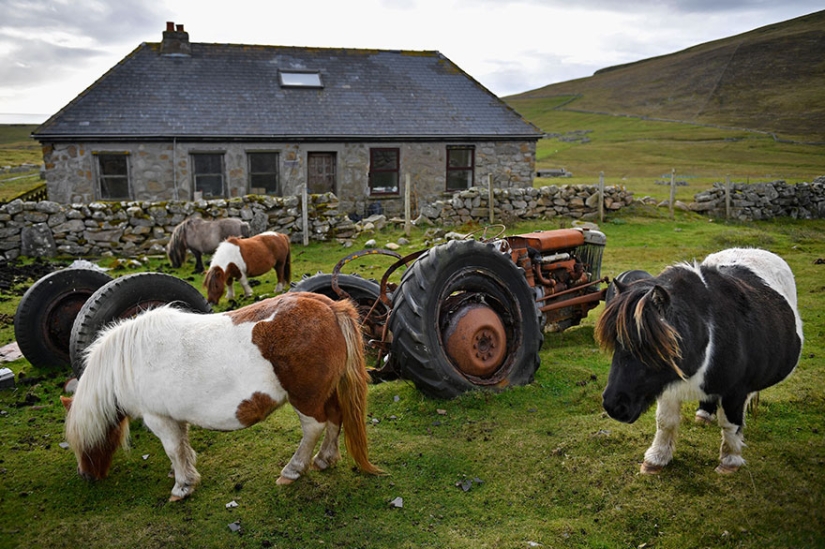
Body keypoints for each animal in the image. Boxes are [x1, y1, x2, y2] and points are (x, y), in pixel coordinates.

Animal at [60, 292, 383, 501]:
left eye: (83, 440)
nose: (86, 476)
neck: (128, 360)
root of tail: (328, 305)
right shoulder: (174, 417)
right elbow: (182, 446)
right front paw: (184, 473)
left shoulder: (158, 418)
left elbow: (173, 449)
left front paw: (182, 487)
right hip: (325, 393)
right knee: (334, 419)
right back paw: (325, 459)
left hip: (305, 399)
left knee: (314, 427)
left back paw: (293, 470)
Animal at [595, 248, 803, 475]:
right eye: (617, 342)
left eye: (649, 347)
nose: (614, 406)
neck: (708, 333)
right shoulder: (667, 385)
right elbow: (665, 422)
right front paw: (656, 459)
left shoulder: (736, 391)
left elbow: (730, 424)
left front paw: (729, 461)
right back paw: (703, 414)